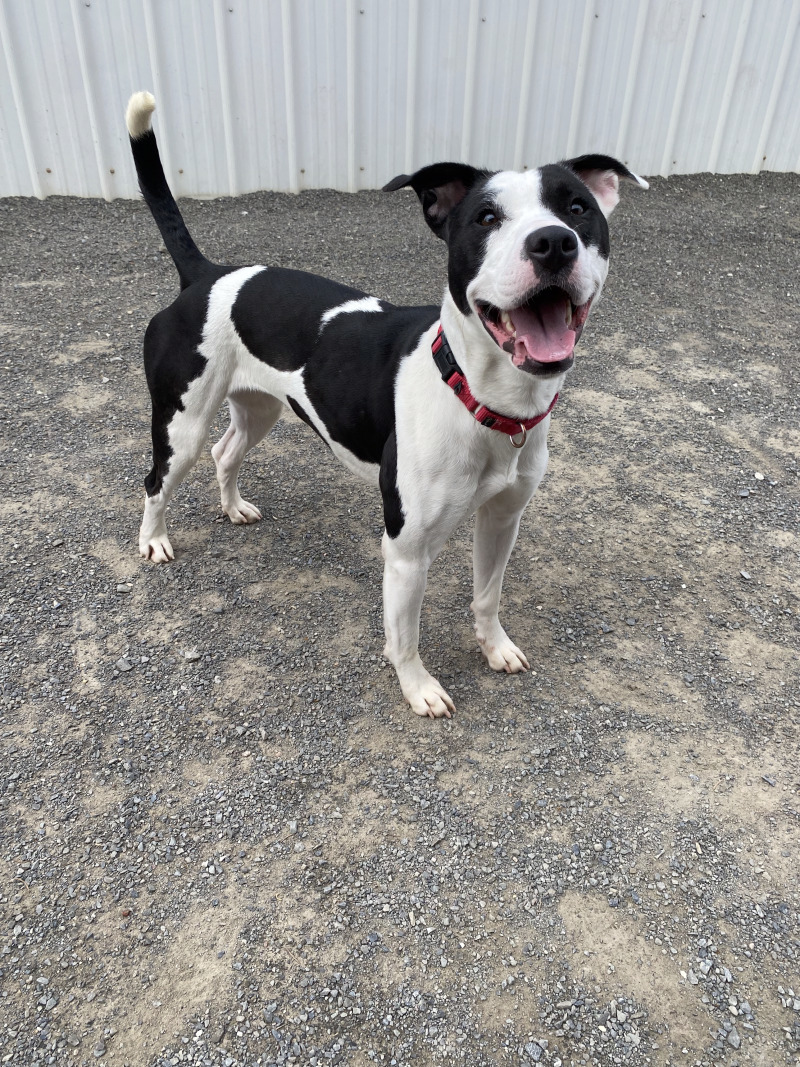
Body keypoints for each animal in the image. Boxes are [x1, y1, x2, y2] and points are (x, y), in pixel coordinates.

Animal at [126, 91, 652, 721]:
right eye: (487, 218)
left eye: (577, 208)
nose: (553, 242)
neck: (478, 397)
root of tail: (207, 276)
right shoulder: (406, 550)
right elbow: (405, 635)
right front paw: (418, 687)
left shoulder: (502, 520)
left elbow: (487, 595)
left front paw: (494, 647)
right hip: (181, 424)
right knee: (157, 479)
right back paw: (153, 540)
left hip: (259, 409)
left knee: (226, 452)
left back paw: (233, 508)